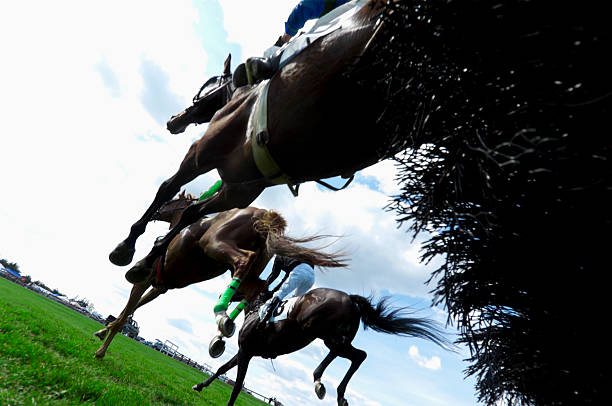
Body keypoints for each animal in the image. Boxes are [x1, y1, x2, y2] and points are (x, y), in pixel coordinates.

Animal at [94, 197, 346, 358]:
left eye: (168, 202)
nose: (156, 211)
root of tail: (264, 215)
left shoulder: (146, 280)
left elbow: (128, 309)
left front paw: (102, 348)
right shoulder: (160, 287)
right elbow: (133, 309)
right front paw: (104, 330)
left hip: (215, 244)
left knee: (244, 263)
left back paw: (221, 313)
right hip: (251, 269)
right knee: (258, 287)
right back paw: (222, 329)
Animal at [107, 0, 390, 276]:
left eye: (206, 86)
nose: (173, 120)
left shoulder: (199, 154)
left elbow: (167, 188)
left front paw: (127, 246)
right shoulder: (238, 190)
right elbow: (191, 212)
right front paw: (148, 258)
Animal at [194, 288, 452, 406]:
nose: (223, 293)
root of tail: (349, 298)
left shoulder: (246, 352)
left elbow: (237, 384)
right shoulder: (245, 352)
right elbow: (222, 369)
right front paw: (199, 386)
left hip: (322, 332)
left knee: (344, 354)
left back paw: (319, 380)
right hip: (337, 338)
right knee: (359, 356)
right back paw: (338, 394)